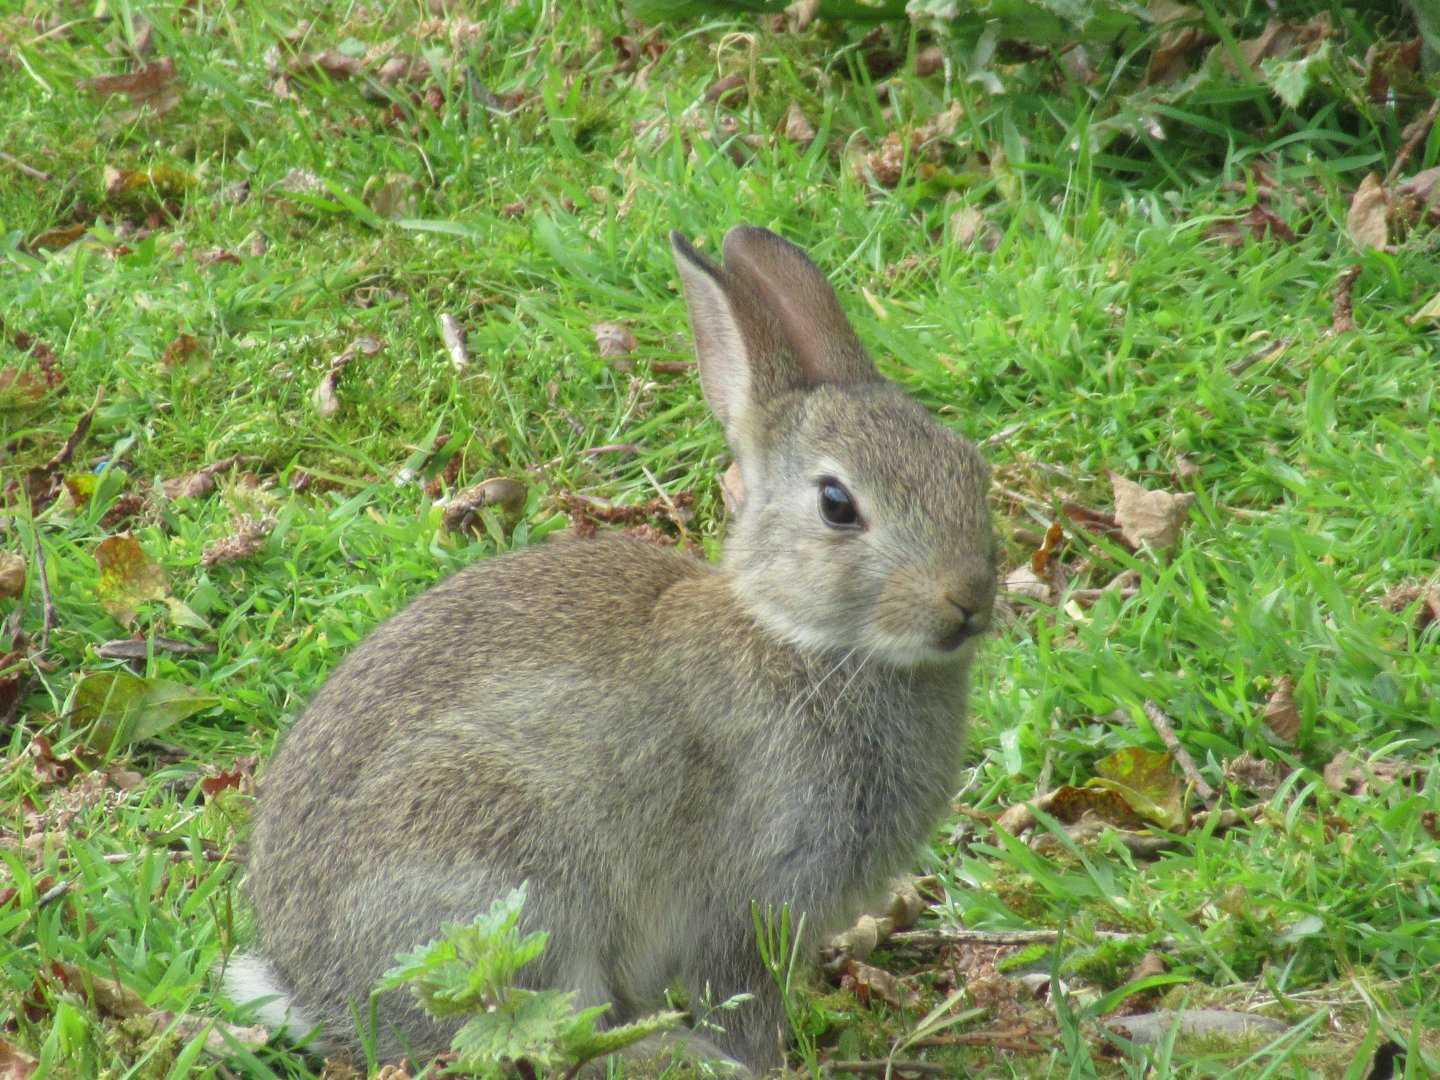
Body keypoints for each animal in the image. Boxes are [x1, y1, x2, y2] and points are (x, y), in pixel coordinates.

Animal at [224, 225, 997, 1075]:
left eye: (970, 467)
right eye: (837, 505)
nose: (967, 599)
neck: (797, 636)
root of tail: (319, 993)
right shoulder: (746, 900)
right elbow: (741, 1005)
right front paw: (753, 1065)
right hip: (513, 882)